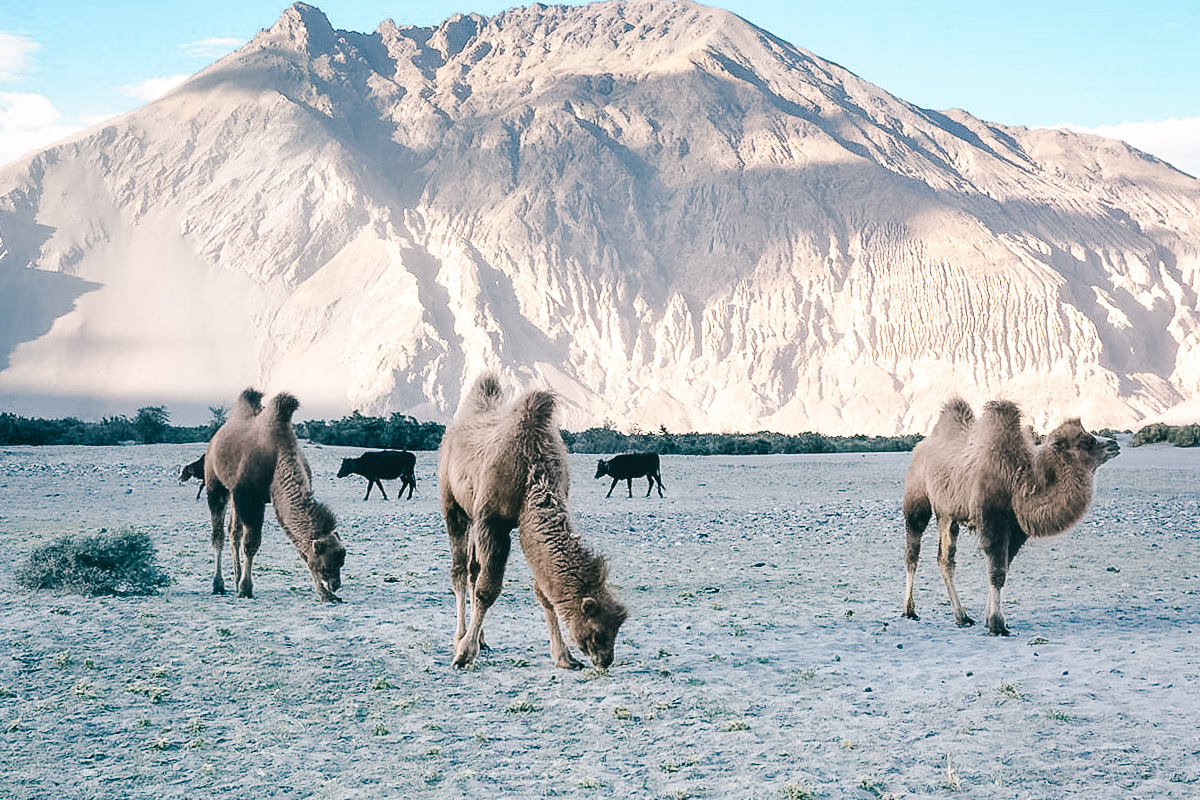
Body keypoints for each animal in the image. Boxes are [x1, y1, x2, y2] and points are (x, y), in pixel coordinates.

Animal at [205, 391, 345, 604]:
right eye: (325, 566)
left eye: (340, 562)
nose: (336, 585)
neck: (278, 456)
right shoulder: (251, 498)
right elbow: (251, 543)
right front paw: (245, 589)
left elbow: (300, 548)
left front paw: (325, 595)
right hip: (215, 483)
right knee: (218, 534)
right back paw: (218, 585)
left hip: (235, 496)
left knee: (233, 532)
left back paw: (235, 579)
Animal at [441, 374, 628, 671]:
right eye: (598, 632)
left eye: (617, 629)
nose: (606, 660)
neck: (532, 474)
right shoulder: (491, 522)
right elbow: (487, 590)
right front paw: (464, 654)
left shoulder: (527, 522)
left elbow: (544, 594)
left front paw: (565, 657)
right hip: (454, 505)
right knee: (460, 570)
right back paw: (461, 638)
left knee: (471, 570)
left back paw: (481, 639)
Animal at [902, 398, 1118, 633]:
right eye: (1086, 440)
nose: (1114, 444)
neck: (1017, 482)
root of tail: (919, 449)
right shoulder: (992, 521)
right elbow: (997, 572)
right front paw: (997, 625)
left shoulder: (1016, 529)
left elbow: (1003, 568)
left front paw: (990, 619)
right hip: (917, 497)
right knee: (913, 552)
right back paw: (910, 611)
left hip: (948, 514)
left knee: (945, 559)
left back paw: (962, 617)